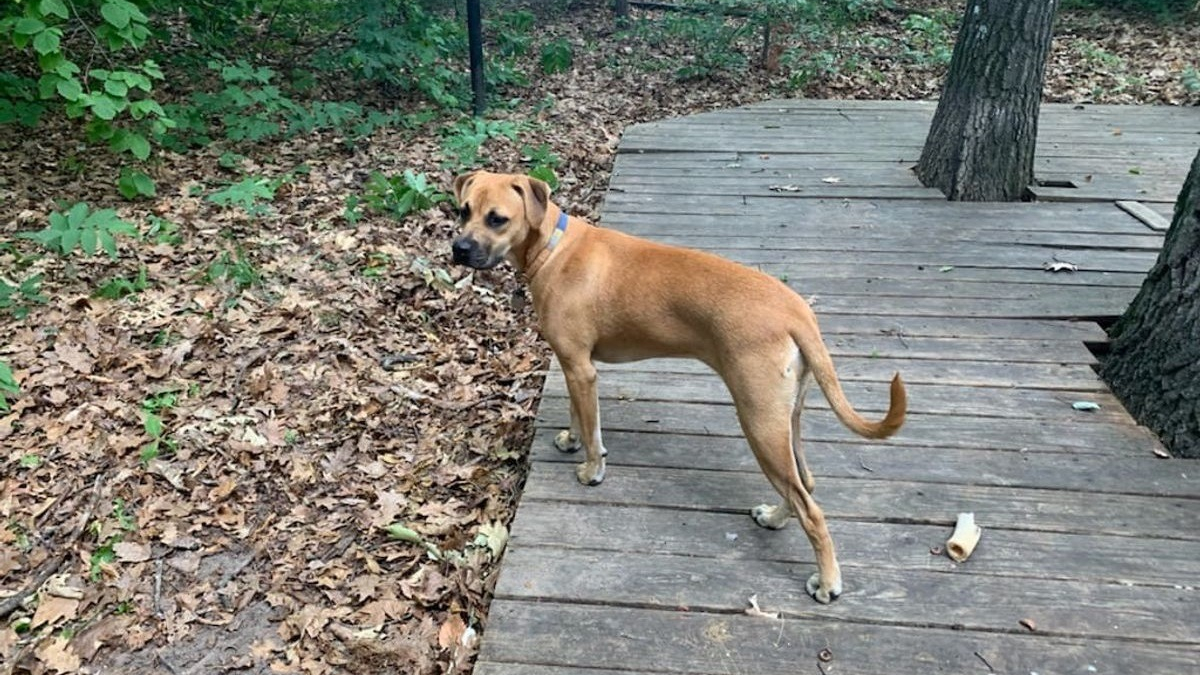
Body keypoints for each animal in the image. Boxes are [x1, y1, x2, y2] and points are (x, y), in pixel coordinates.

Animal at [453, 168, 902, 598]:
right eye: (463, 210)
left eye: (497, 219)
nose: (458, 248)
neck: (551, 247)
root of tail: (798, 313)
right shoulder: (574, 365)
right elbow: (578, 414)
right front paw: (571, 439)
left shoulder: (581, 369)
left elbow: (593, 430)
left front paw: (592, 469)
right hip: (786, 418)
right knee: (805, 484)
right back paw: (774, 518)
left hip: (760, 424)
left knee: (810, 508)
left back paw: (827, 582)